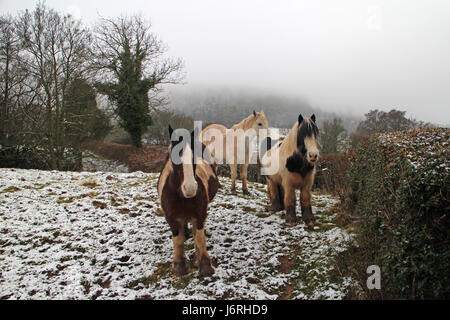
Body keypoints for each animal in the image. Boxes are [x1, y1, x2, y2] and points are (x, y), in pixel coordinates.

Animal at [157, 126, 221, 276]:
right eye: (173, 156)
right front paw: (179, 265)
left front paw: (204, 265)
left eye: (195, 156)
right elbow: (178, 240)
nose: (190, 188)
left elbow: (199, 238)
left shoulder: (199, 214)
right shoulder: (171, 218)